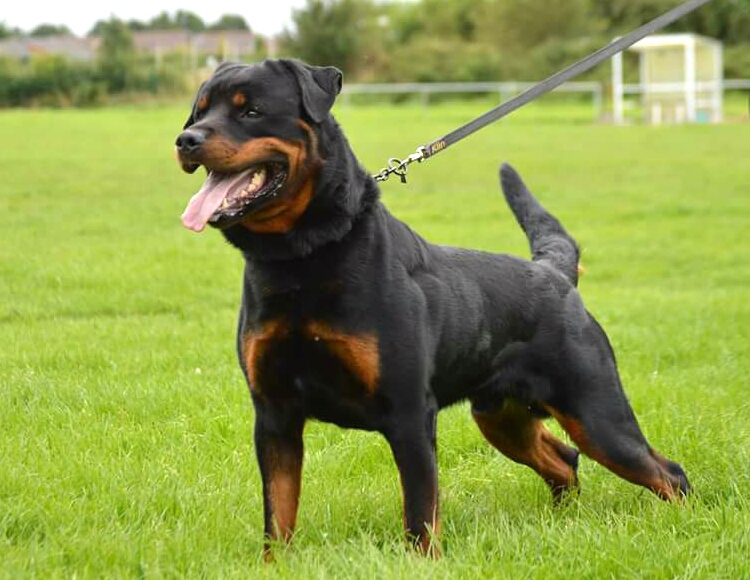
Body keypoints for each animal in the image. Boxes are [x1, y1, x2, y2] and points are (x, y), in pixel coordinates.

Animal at [175, 59, 688, 556]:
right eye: (198, 113)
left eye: (251, 111)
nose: (186, 140)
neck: (302, 258)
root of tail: (554, 272)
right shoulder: (274, 413)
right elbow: (278, 514)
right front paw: (276, 564)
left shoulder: (408, 413)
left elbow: (421, 511)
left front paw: (423, 560)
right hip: (501, 415)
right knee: (564, 459)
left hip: (595, 411)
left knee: (667, 472)